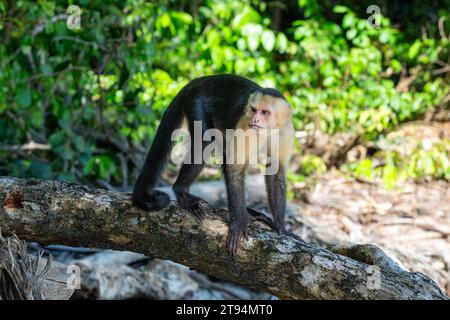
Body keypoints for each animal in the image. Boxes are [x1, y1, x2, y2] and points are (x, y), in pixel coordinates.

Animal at [133, 74, 296, 254]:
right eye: (253, 110)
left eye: (265, 112)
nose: (255, 119)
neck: (268, 129)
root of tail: (198, 81)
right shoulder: (245, 125)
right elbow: (235, 168)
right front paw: (239, 223)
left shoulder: (287, 131)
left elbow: (276, 171)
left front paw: (280, 227)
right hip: (196, 102)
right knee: (204, 142)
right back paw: (180, 191)